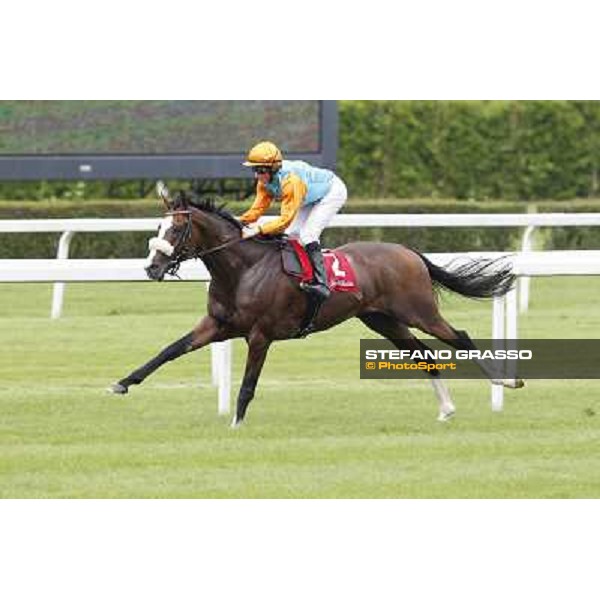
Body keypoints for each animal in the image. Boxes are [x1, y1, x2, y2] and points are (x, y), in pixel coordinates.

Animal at [110, 192, 524, 426]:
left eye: (176, 230)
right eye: (158, 228)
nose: (151, 268)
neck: (242, 270)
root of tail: (408, 251)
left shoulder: (260, 335)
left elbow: (247, 385)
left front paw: (236, 425)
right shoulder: (217, 324)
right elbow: (168, 351)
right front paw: (123, 383)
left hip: (418, 312)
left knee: (460, 337)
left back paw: (507, 382)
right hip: (382, 320)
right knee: (423, 355)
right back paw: (447, 409)